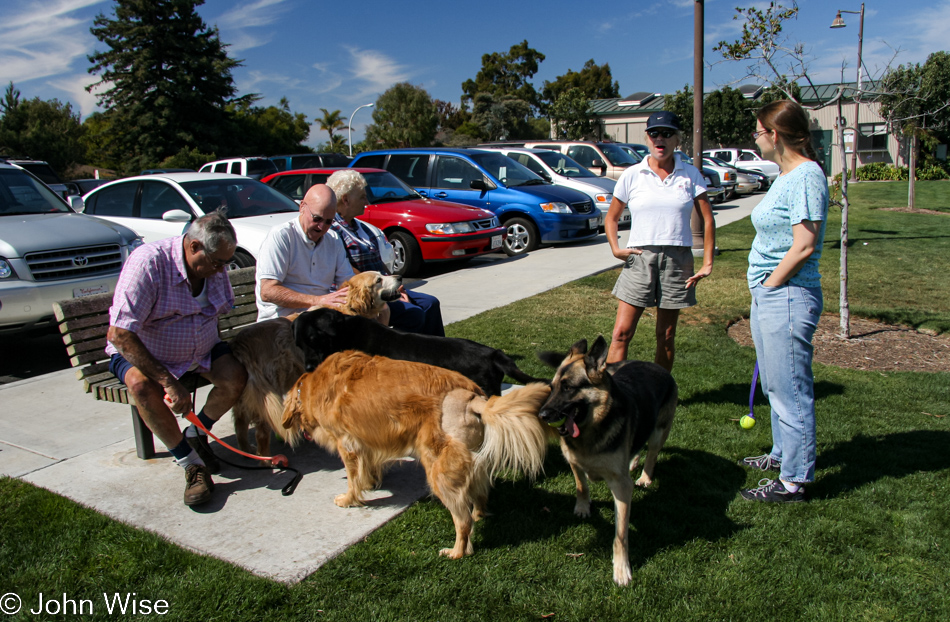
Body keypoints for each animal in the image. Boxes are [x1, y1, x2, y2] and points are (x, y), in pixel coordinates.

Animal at [282, 354, 552, 564]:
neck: (312, 385)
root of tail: (471, 397)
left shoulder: (347, 444)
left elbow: (352, 478)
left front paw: (348, 499)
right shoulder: (366, 443)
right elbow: (367, 469)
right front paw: (370, 484)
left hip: (439, 471)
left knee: (462, 521)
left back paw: (456, 552)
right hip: (472, 462)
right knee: (480, 494)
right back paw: (479, 513)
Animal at [540, 338, 680, 588]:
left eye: (568, 388)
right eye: (552, 387)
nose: (542, 415)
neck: (590, 431)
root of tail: (656, 366)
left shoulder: (622, 486)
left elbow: (621, 534)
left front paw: (622, 568)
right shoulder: (574, 462)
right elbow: (582, 486)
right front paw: (583, 507)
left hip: (659, 432)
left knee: (652, 453)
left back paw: (645, 476)